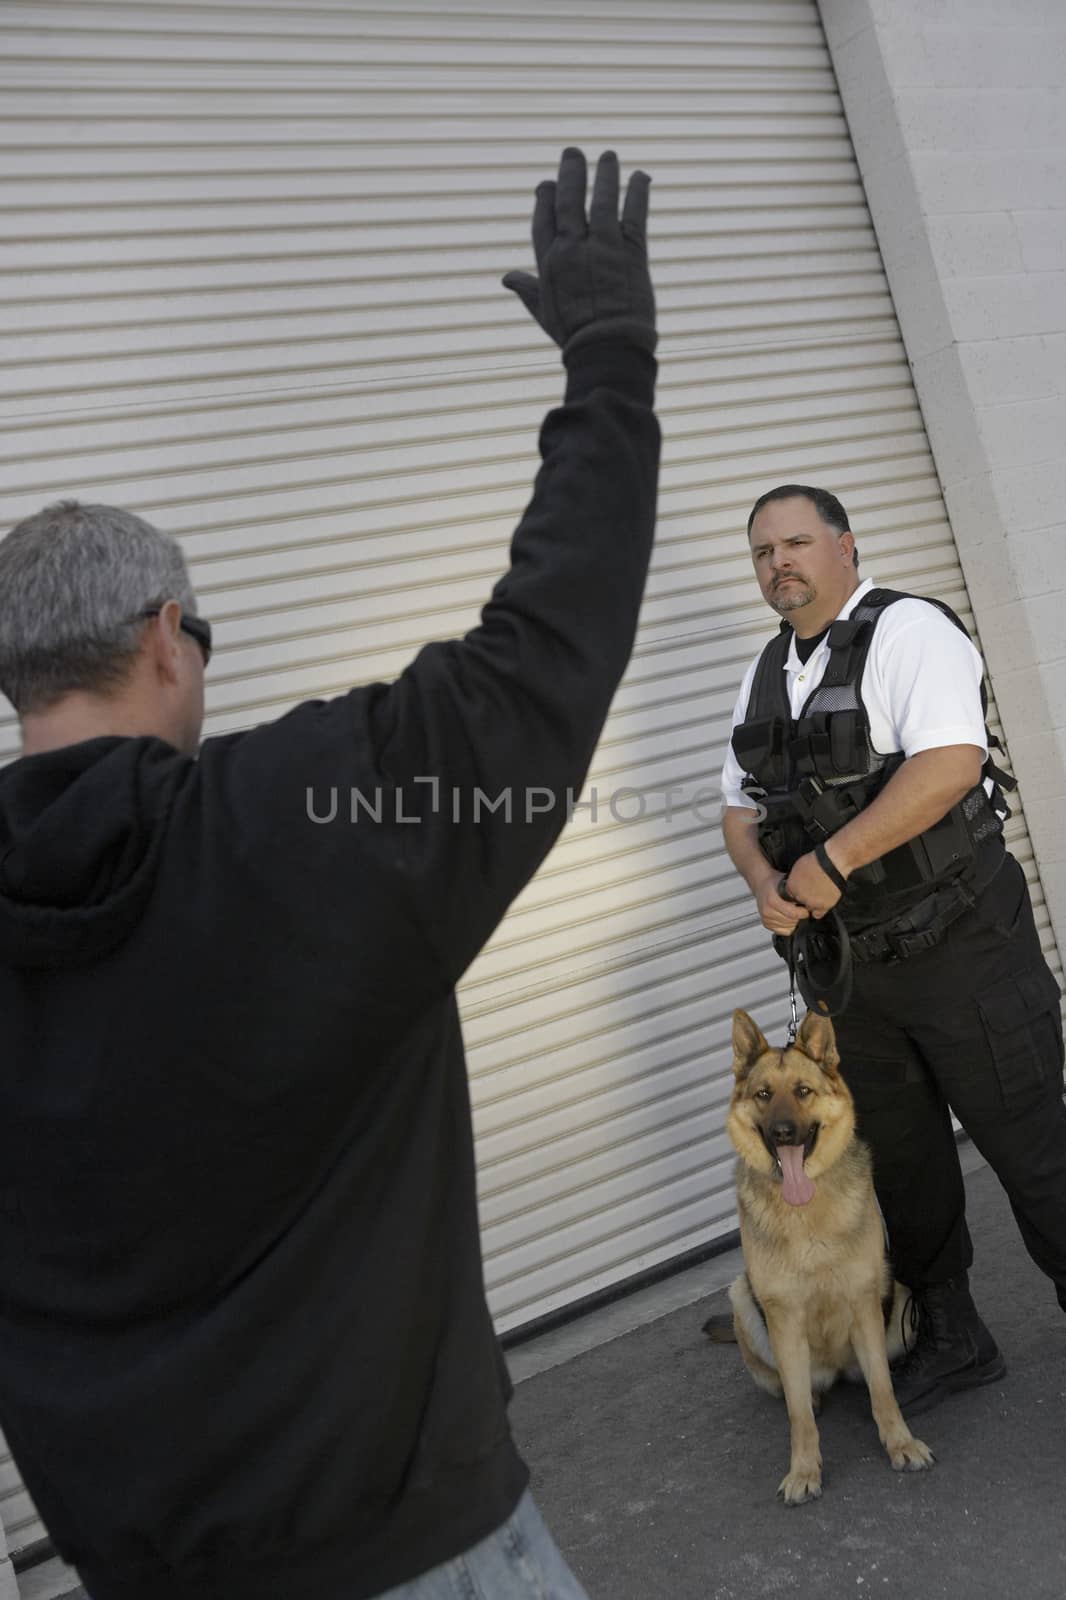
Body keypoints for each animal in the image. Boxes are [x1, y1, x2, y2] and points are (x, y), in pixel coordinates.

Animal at [713, 1011, 928, 1497]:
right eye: (763, 1094)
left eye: (803, 1091)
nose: (782, 1133)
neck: (804, 1212)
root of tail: (835, 1369)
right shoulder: (784, 1316)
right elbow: (798, 1415)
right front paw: (804, 1470)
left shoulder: (863, 1302)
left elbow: (882, 1391)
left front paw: (900, 1443)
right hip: (742, 1299)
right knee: (791, 1388)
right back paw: (811, 1392)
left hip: (900, 1299)